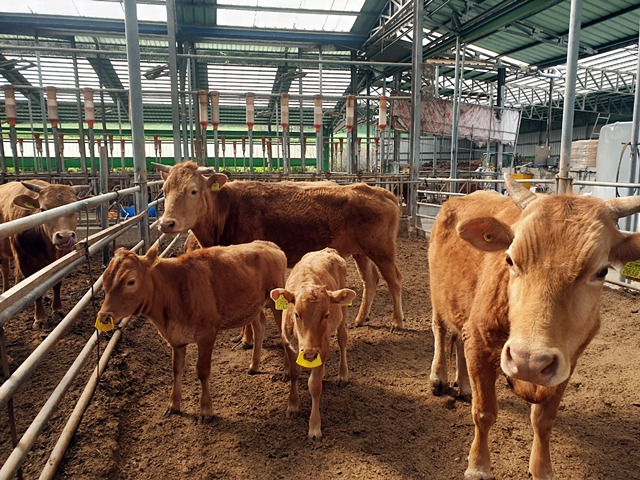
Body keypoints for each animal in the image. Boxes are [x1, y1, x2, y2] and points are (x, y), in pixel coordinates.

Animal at [0, 180, 87, 330]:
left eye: (75, 209)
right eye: (43, 210)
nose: (65, 237)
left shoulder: (61, 257)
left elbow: (56, 283)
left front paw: (57, 310)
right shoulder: (24, 261)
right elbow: (35, 292)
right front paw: (40, 318)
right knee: (5, 271)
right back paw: (6, 290)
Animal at [96, 242, 286, 422]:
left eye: (131, 281)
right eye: (105, 281)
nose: (104, 317)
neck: (174, 290)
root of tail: (267, 244)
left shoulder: (207, 334)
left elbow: (202, 371)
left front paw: (206, 410)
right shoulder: (176, 338)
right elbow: (176, 369)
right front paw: (173, 405)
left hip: (276, 302)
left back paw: (286, 373)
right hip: (253, 307)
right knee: (260, 327)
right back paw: (254, 366)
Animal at [152, 160, 402, 330]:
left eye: (193, 190)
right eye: (164, 190)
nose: (166, 223)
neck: (226, 208)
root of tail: (380, 191)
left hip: (383, 251)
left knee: (394, 280)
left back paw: (397, 321)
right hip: (361, 251)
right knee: (370, 280)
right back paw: (360, 318)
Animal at [268, 249, 356, 440]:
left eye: (326, 314)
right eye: (296, 314)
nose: (308, 353)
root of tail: (328, 250)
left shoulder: (322, 349)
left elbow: (315, 385)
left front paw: (314, 427)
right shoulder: (287, 342)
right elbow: (295, 373)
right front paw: (293, 406)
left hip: (343, 312)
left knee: (343, 339)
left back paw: (343, 374)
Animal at [424, 173, 640, 480]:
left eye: (601, 271)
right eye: (509, 259)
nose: (528, 361)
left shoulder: (566, 361)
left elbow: (543, 420)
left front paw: (542, 468)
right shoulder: (480, 340)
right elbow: (484, 412)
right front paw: (478, 466)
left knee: (457, 339)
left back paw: (464, 386)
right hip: (438, 293)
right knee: (441, 331)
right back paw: (439, 377)